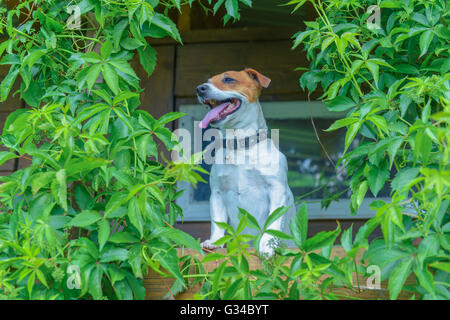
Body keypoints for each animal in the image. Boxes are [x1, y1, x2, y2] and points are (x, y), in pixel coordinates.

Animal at [196, 68, 296, 258]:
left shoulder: (277, 189)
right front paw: (215, 242)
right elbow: (217, 222)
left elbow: (272, 222)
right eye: (208, 81)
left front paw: (267, 245)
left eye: (228, 79)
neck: (240, 145)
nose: (199, 88)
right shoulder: (218, 192)